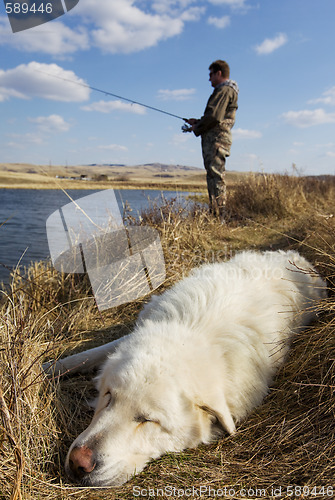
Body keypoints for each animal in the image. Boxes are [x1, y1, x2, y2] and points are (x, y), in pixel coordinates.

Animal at [49, 252, 326, 486]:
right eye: (109, 397)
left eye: (148, 420)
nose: (78, 462)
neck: (195, 328)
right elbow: (89, 354)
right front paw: (48, 367)